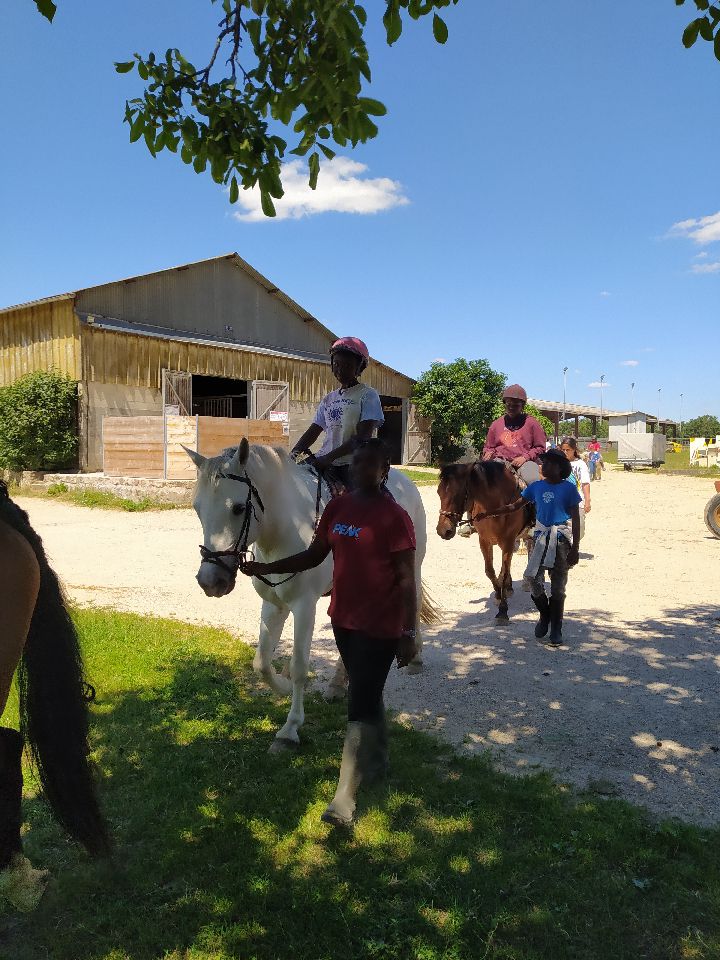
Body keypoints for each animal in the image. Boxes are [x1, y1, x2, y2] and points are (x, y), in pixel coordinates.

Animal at [186, 438, 436, 752]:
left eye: (239, 508)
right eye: (197, 509)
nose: (210, 581)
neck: (283, 532)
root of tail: (406, 482)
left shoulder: (304, 607)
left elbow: (300, 665)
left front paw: (290, 728)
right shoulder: (273, 606)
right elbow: (262, 662)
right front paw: (281, 686)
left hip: (413, 566)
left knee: (413, 603)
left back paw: (415, 658)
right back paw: (338, 685)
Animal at [436, 464, 532, 624]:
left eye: (458, 494)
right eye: (439, 492)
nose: (443, 531)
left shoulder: (508, 541)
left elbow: (503, 573)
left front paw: (503, 611)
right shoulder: (485, 541)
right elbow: (490, 571)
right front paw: (499, 595)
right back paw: (508, 588)